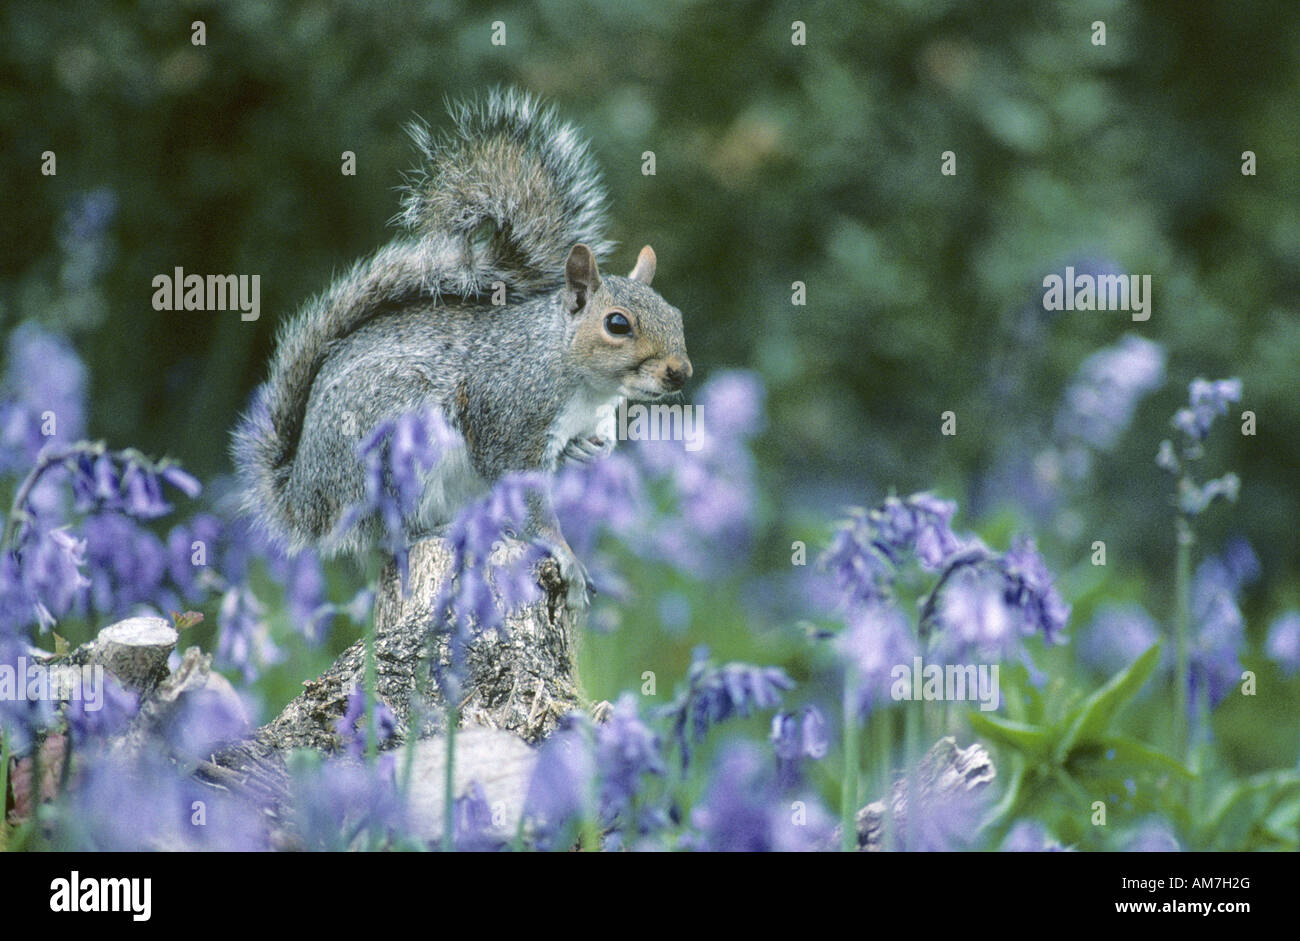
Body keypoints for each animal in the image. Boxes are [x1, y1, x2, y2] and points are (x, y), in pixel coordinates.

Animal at [237, 90, 696, 603]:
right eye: (617, 324)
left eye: (676, 316)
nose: (680, 372)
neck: (581, 381)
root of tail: (305, 501)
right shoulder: (511, 420)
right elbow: (529, 497)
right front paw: (565, 554)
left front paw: (587, 452)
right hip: (391, 441)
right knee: (387, 533)